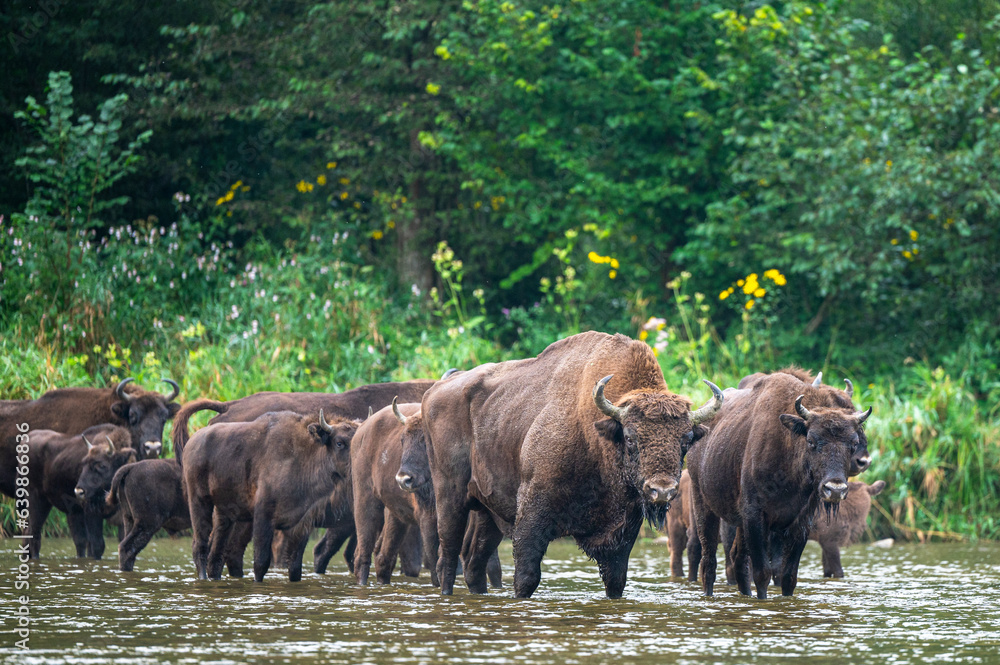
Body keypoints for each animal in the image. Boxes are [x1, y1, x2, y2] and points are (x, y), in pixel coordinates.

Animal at [24, 422, 134, 556]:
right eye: (83, 463)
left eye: (102, 465)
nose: (78, 492)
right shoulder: (92, 513)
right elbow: (97, 545)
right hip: (36, 499)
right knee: (34, 534)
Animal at [181, 410, 360, 580]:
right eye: (339, 443)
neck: (302, 455)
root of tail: (190, 443)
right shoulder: (263, 517)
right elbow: (261, 562)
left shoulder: (301, 524)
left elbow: (295, 567)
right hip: (199, 502)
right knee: (200, 546)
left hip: (224, 513)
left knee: (216, 556)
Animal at [420, 332, 720, 596]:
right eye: (630, 437)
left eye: (686, 439)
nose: (662, 490)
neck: (594, 436)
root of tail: (433, 392)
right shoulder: (531, 513)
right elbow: (526, 576)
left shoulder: (621, 534)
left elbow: (616, 580)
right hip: (450, 499)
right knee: (448, 558)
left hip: (488, 512)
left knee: (474, 563)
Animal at [692, 370, 872, 600]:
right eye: (812, 441)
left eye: (852, 442)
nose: (835, 489)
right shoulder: (756, 517)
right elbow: (762, 573)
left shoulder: (800, 522)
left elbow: (788, 575)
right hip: (703, 504)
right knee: (709, 562)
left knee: (738, 559)